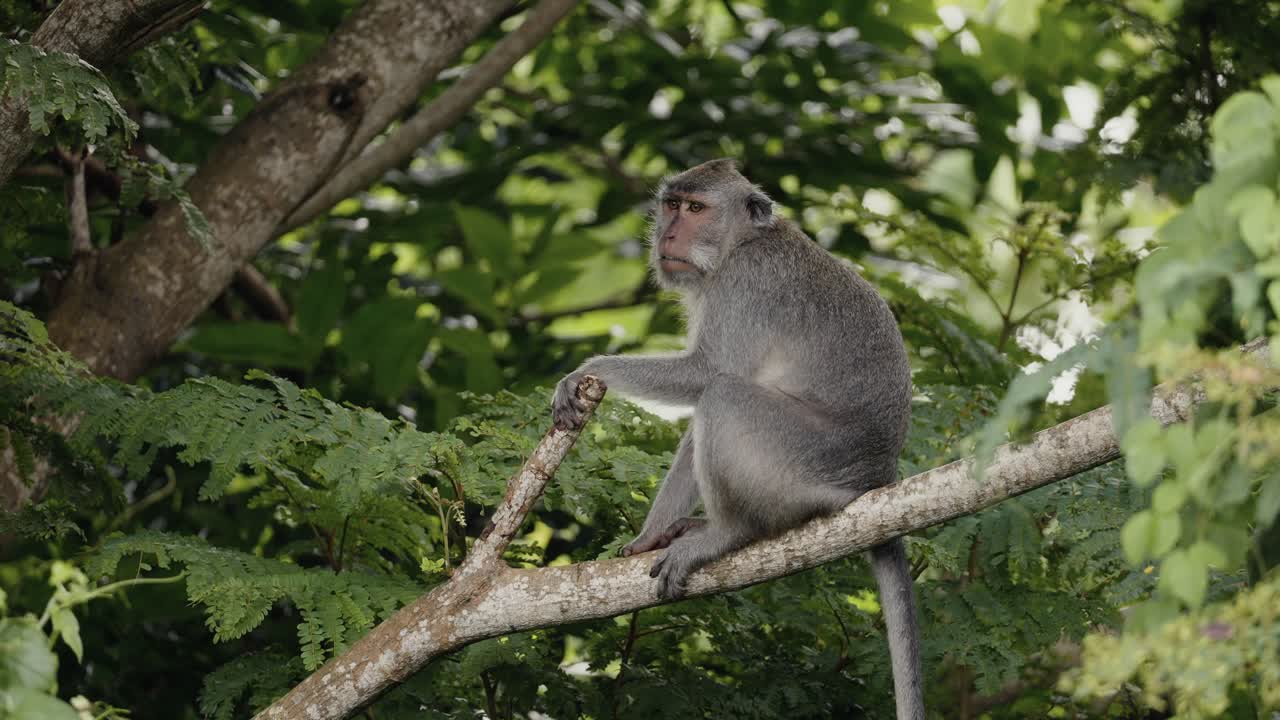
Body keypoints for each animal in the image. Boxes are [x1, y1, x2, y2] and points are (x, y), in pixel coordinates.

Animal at [551, 159, 922, 719]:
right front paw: (649, 537)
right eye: (671, 205)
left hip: (802, 457)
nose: (669, 234)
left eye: (696, 208)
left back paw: (726, 533)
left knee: (724, 395)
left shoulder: (744, 284)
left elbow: (707, 374)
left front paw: (589, 371)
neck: (742, 243)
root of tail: (876, 477)